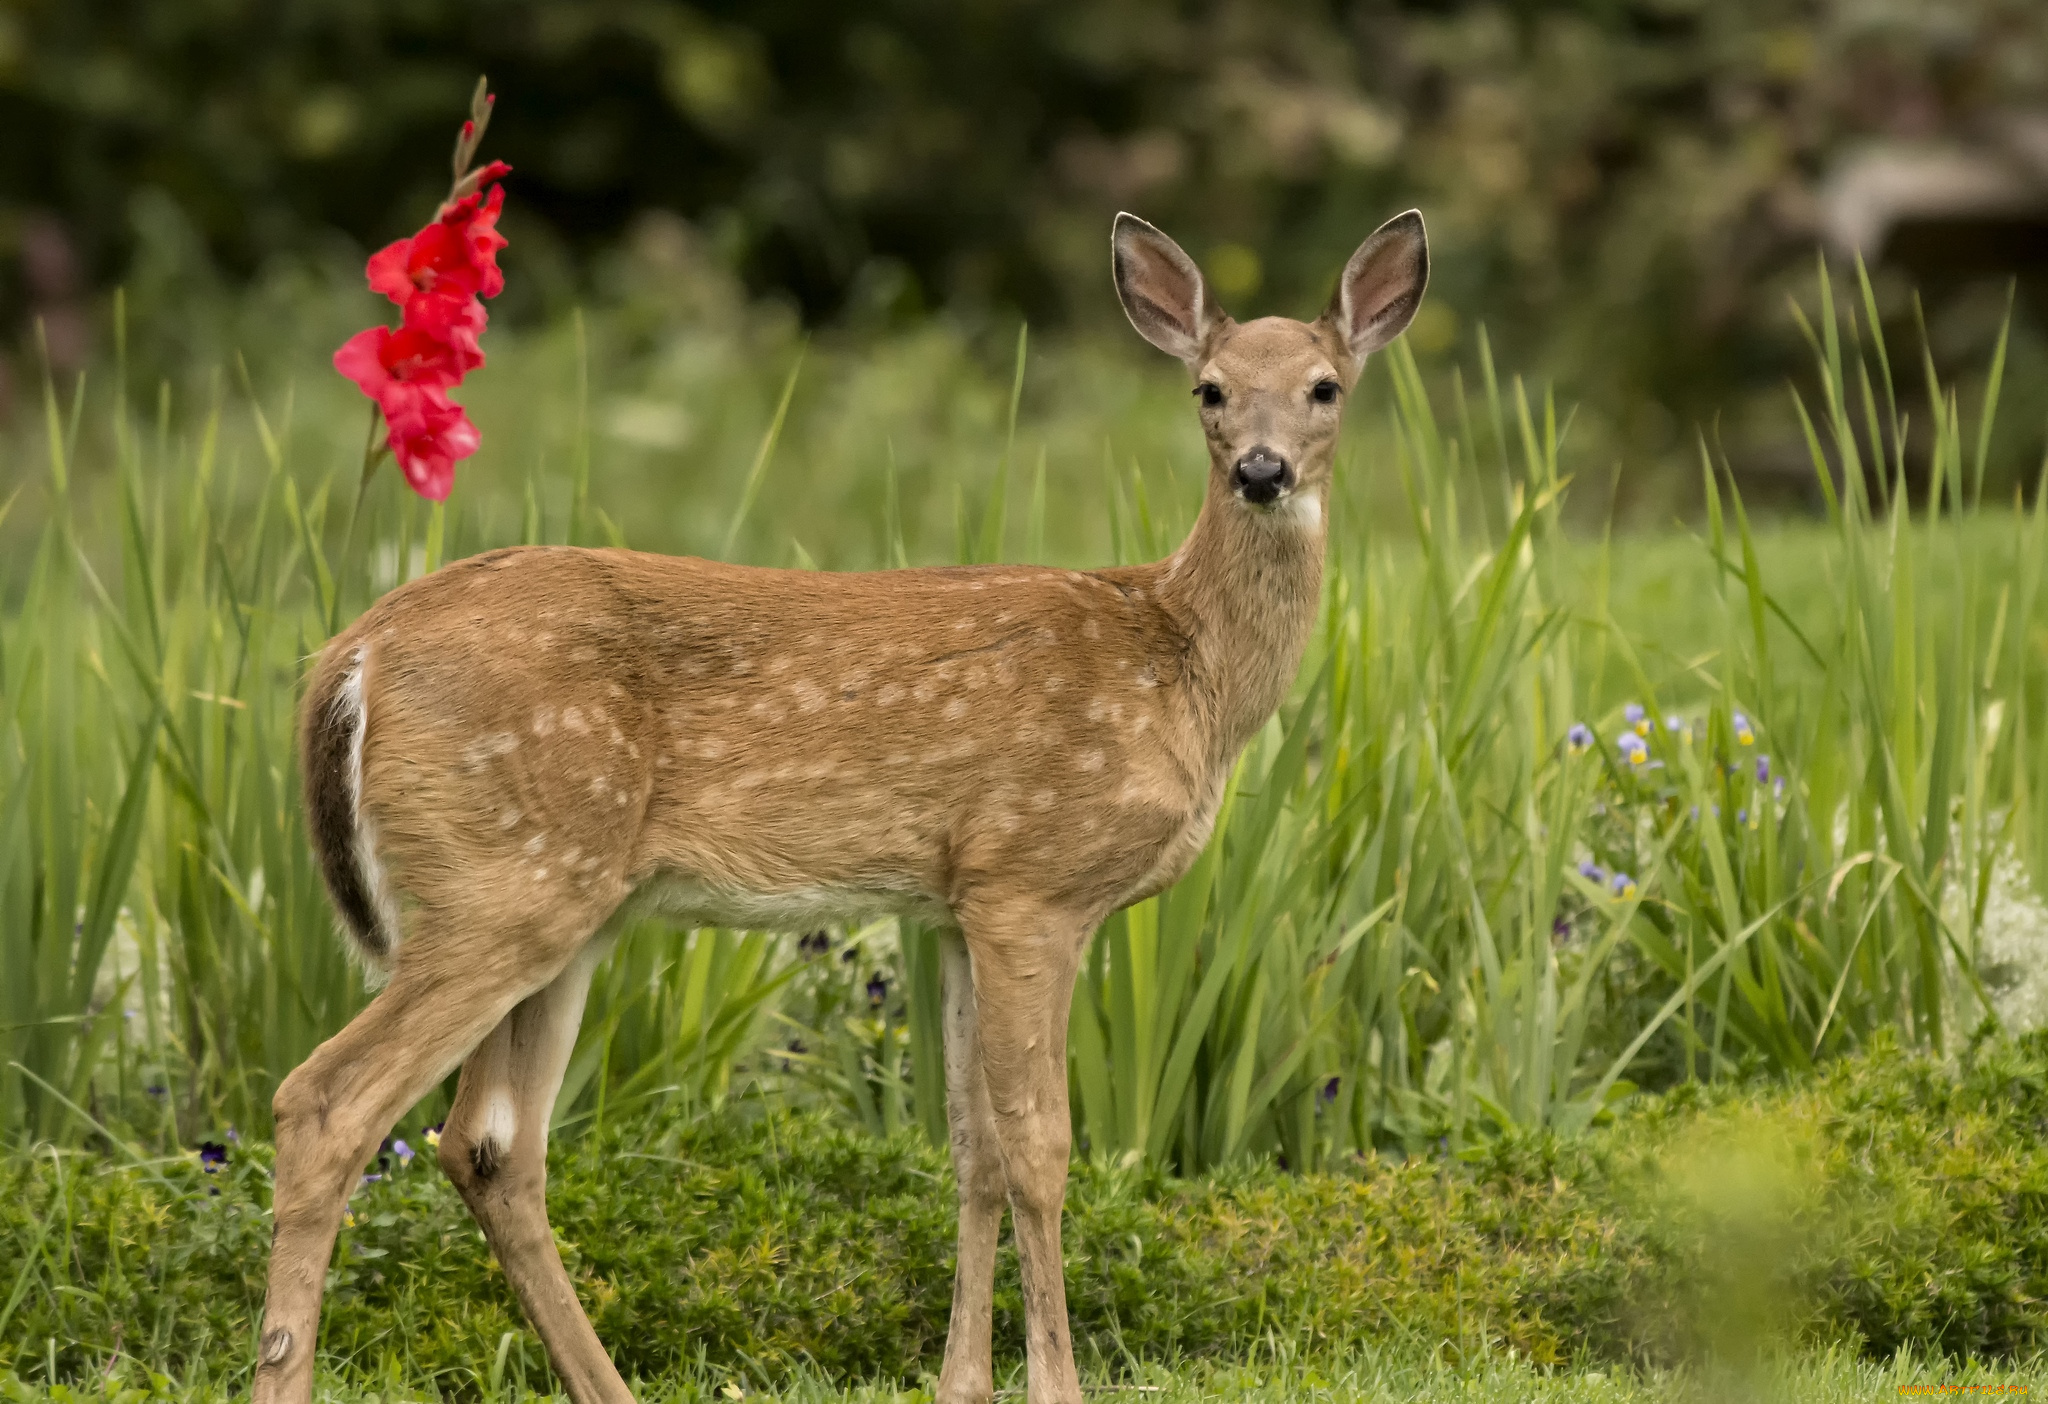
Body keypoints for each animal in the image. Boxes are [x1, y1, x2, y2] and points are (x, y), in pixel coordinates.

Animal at [251, 208, 1425, 1404]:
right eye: (1209, 388)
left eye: (1326, 387)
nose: (1262, 471)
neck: (1187, 667)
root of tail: (348, 660)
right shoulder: (1034, 881)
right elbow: (1040, 1146)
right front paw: (1052, 1384)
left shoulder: (957, 904)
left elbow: (972, 1148)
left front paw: (964, 1384)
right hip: (500, 883)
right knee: (326, 1103)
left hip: (562, 904)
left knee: (488, 1144)